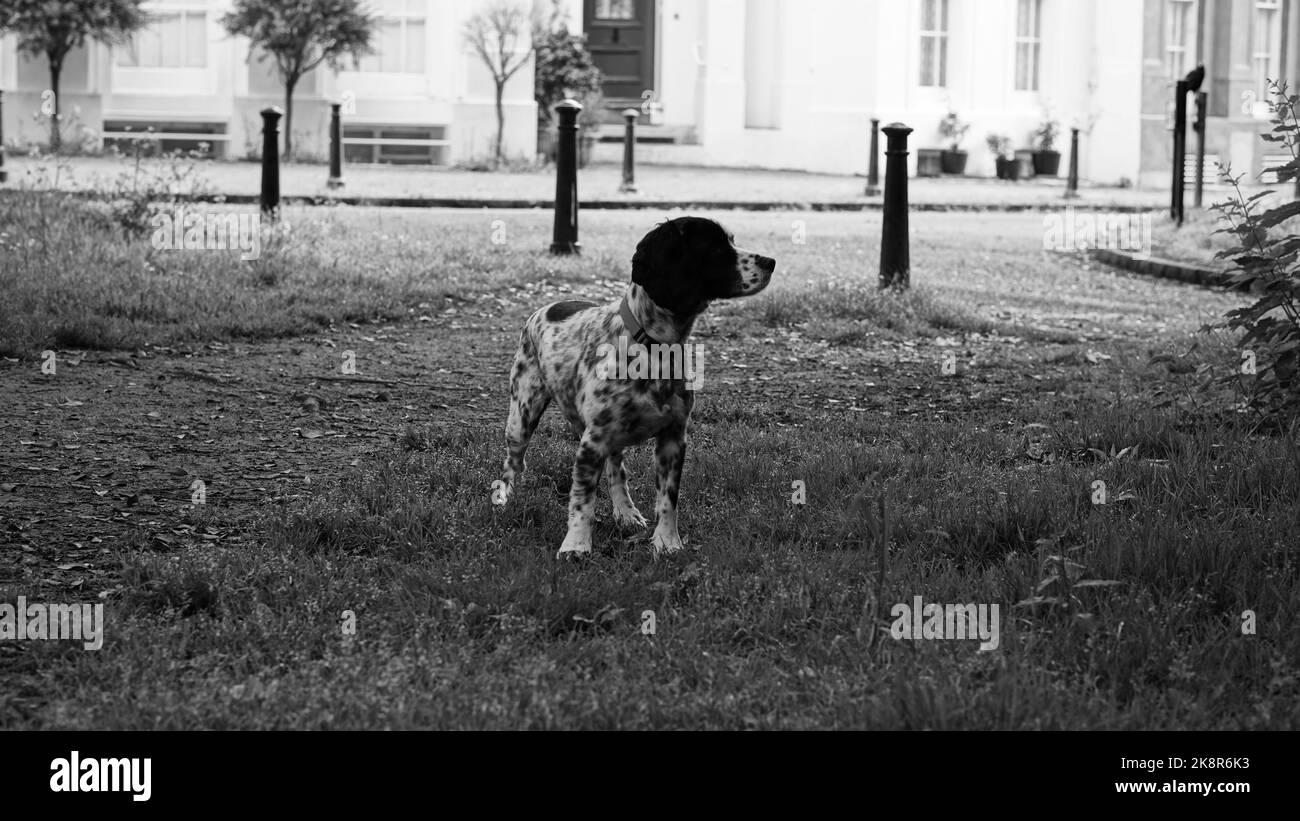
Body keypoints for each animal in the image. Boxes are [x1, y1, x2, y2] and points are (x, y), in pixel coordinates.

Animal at [488, 214, 769, 555]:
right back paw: (504, 497)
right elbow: (582, 501)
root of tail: (547, 306)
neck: (653, 348)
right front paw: (576, 545)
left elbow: (668, 499)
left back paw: (625, 512)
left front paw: (667, 541)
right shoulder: (592, 442)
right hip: (523, 413)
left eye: (731, 241)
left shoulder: (673, 437)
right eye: (715, 247)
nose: (771, 261)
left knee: (616, 470)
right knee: (514, 461)